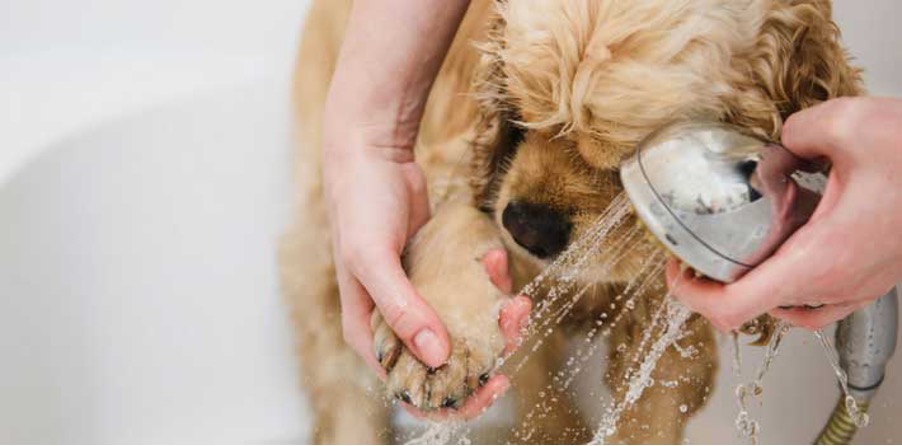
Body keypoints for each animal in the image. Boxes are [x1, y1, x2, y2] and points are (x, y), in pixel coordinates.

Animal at [280, 0, 860, 442]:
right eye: (520, 108)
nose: (526, 226)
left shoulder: (671, 322)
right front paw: (439, 347)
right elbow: (456, 219)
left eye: (627, 158)